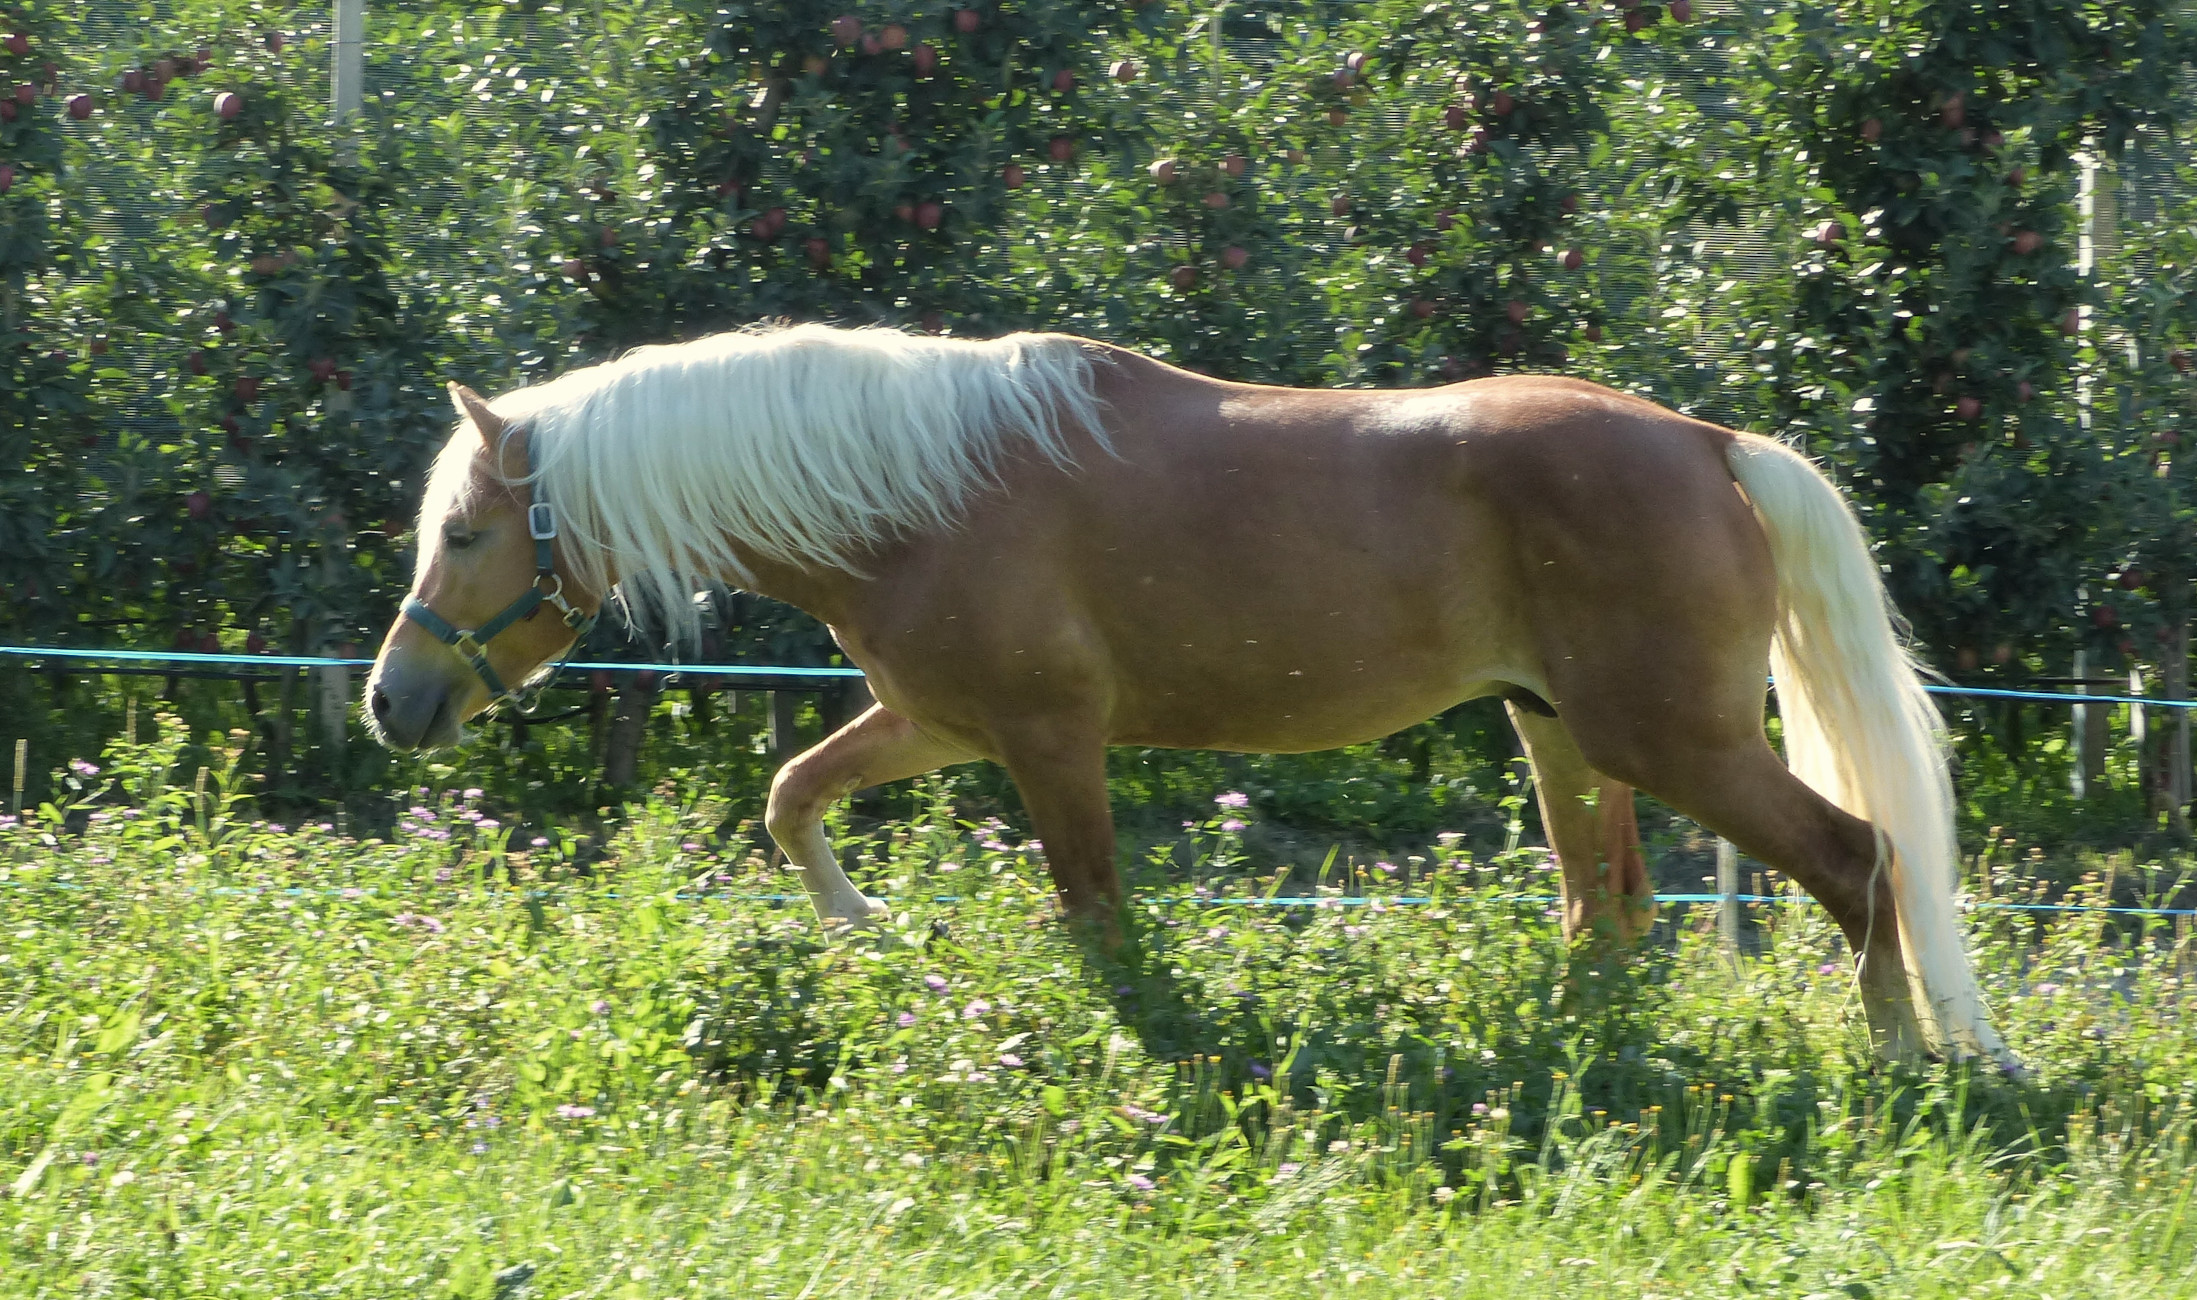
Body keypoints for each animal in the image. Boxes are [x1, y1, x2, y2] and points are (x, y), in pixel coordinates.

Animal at [364, 322, 2016, 1071]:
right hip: (1558, 738)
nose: (393, 703)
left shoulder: (1047, 740)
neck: (920, 491)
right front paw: (868, 935)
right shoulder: (935, 720)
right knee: (1605, 921)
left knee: (1858, 862)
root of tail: (1707, 444)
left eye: (465, 532)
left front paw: (1128, 1045)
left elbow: (1097, 918)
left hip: (1669, 740)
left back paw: (1901, 1059)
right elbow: (789, 796)